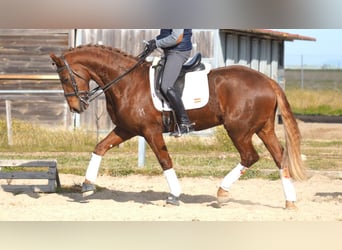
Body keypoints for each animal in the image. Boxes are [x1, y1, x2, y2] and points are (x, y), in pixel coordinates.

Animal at [49, 44, 306, 209]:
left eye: (65, 78)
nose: (76, 107)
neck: (126, 81)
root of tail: (268, 80)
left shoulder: (150, 131)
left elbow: (165, 161)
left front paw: (174, 195)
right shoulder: (126, 129)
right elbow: (100, 148)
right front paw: (87, 185)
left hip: (239, 130)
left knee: (250, 157)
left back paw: (222, 192)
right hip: (263, 129)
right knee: (279, 157)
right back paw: (290, 202)